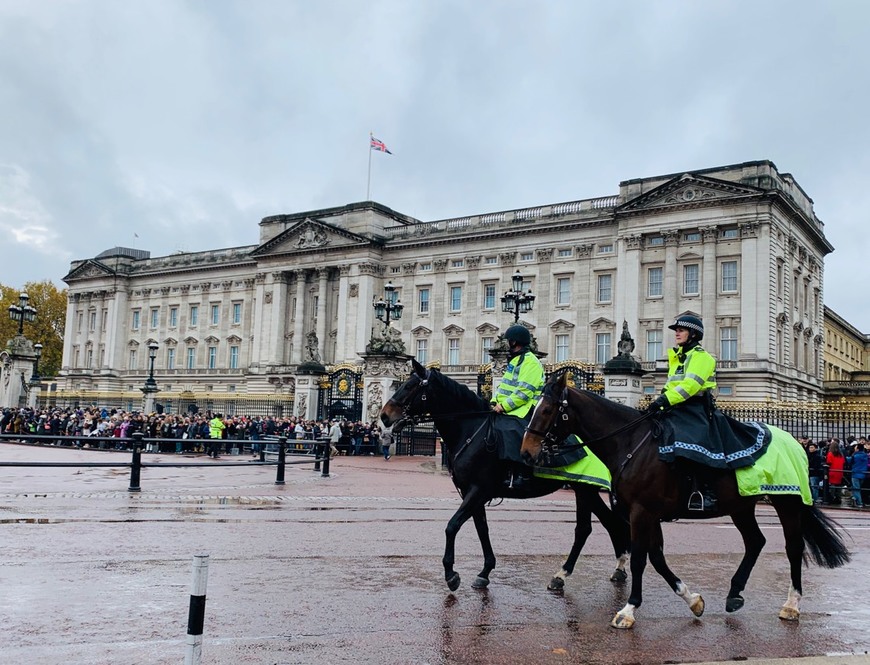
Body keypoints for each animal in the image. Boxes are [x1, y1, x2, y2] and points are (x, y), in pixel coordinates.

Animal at [378, 360, 632, 592]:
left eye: (410, 386)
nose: (383, 416)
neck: (472, 430)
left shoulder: (478, 490)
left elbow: (452, 526)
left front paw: (451, 574)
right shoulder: (472, 493)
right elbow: (481, 528)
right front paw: (485, 572)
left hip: (584, 488)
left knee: (585, 529)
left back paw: (563, 574)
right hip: (585, 487)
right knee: (608, 522)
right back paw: (617, 568)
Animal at [520, 374, 848, 628]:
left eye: (546, 409)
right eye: (533, 407)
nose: (526, 453)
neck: (632, 444)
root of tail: (796, 443)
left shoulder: (642, 511)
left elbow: (641, 558)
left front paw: (628, 609)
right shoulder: (646, 513)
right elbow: (656, 557)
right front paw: (693, 600)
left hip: (787, 503)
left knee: (793, 548)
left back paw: (791, 605)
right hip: (741, 506)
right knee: (756, 542)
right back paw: (734, 594)